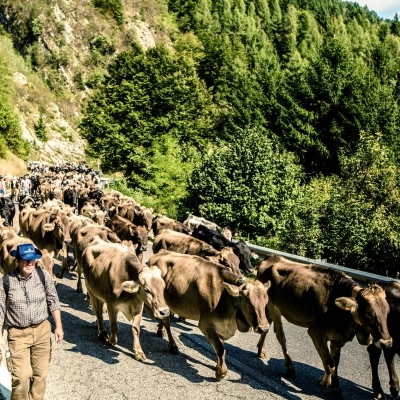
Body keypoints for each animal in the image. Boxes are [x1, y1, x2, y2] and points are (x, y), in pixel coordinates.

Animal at [153, 250, 272, 382]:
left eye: (266, 301)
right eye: (248, 301)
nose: (264, 328)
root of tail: (162, 252)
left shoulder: (221, 327)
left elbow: (221, 348)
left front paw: (217, 365)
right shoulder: (205, 325)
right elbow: (220, 348)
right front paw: (221, 372)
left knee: (164, 318)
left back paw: (160, 330)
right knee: (167, 322)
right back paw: (172, 346)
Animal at [256, 255, 390, 398]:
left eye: (387, 310)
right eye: (369, 312)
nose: (387, 342)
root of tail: (273, 257)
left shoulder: (337, 338)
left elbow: (334, 363)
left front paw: (335, 388)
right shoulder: (316, 332)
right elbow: (330, 364)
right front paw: (326, 383)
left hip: (270, 308)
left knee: (266, 326)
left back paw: (261, 350)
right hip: (274, 308)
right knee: (280, 336)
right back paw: (290, 367)